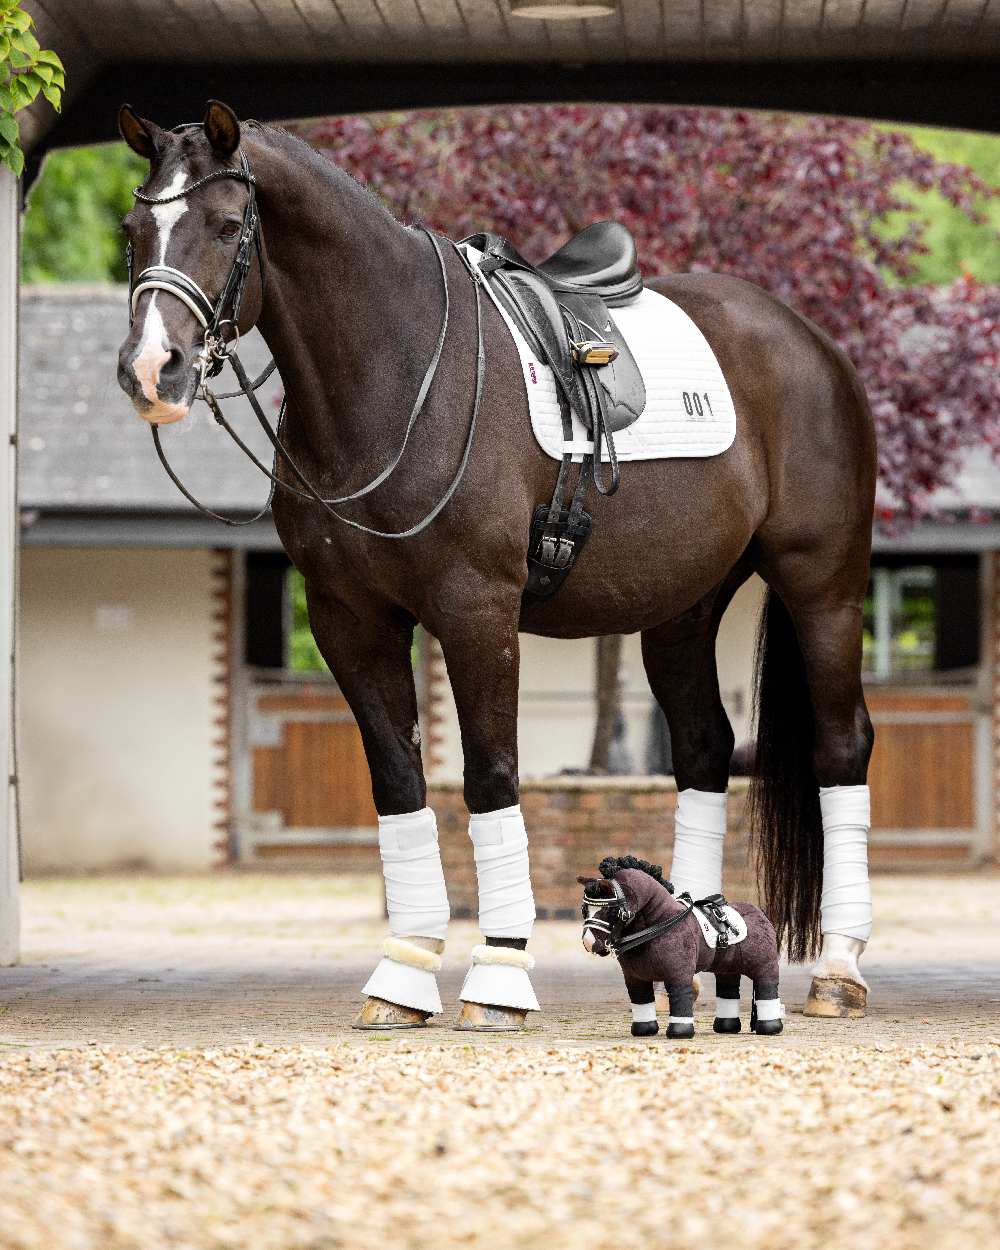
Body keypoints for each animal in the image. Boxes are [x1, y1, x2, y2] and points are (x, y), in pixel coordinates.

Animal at [117, 102, 875, 1030]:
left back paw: (838, 971)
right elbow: (399, 782)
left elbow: (489, 778)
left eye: (228, 227)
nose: (151, 369)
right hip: (683, 609)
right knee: (704, 749)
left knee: (841, 748)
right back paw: (702, 945)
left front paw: (500, 976)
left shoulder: (476, 611)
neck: (401, 375)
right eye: (134, 230)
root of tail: (812, 345)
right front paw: (403, 976)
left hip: (822, 586)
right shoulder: (348, 621)